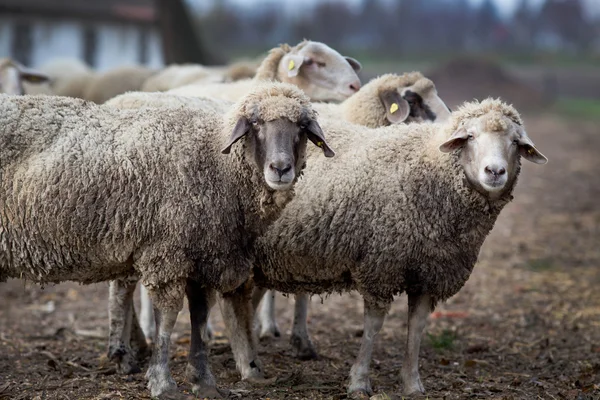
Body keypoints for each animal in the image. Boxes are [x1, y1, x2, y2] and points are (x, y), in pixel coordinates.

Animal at [0, 83, 336, 398]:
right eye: (255, 124)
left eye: (302, 128)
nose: (280, 169)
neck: (216, 162)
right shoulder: (168, 253)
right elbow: (167, 318)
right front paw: (162, 383)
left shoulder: (203, 255)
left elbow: (199, 316)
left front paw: (203, 381)